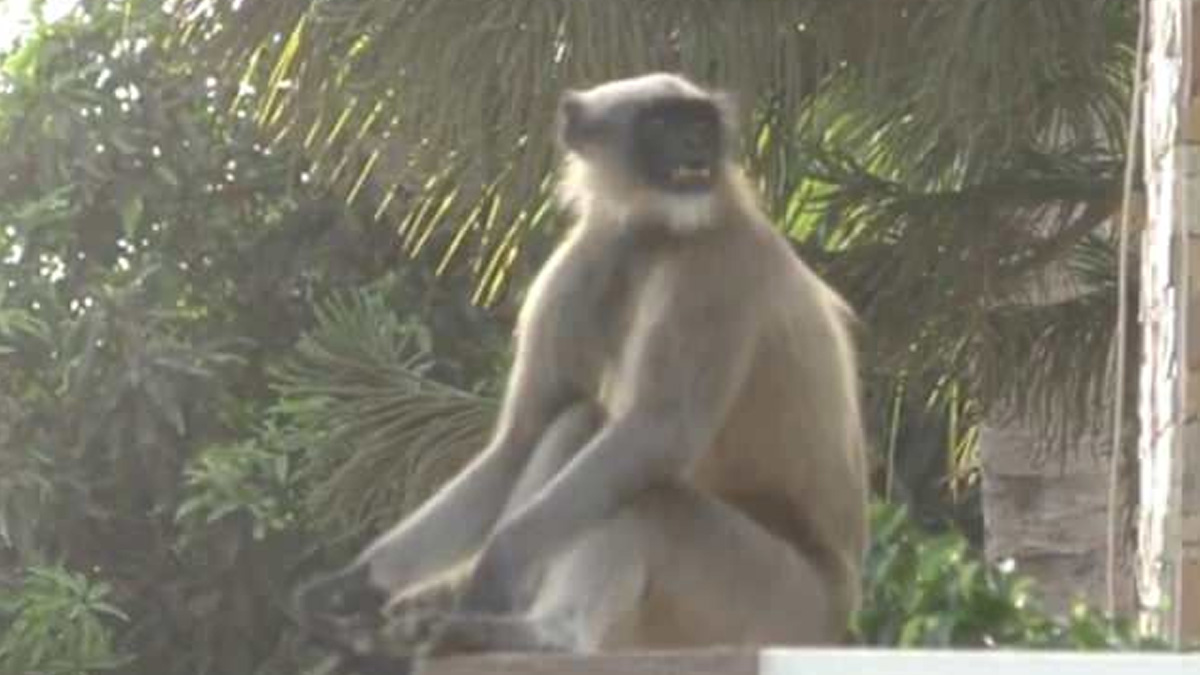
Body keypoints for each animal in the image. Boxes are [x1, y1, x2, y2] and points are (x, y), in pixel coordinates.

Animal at [296, 72, 869, 670]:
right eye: (662, 124)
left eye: (701, 124)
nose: (696, 146)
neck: (654, 232)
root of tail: (837, 613)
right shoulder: (587, 258)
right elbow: (520, 442)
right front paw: (354, 588)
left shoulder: (720, 264)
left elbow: (660, 432)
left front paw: (496, 568)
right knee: (577, 421)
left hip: (770, 599)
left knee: (648, 494)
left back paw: (542, 635)